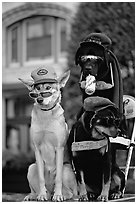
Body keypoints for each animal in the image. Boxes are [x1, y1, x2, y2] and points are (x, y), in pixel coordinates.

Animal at [18, 67, 77, 202]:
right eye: (36, 90)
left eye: (48, 88)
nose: (39, 99)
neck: (46, 114)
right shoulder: (37, 149)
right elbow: (41, 179)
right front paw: (41, 195)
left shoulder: (59, 148)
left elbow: (58, 178)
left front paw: (58, 195)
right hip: (31, 168)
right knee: (40, 188)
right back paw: (35, 195)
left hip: (66, 169)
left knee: (70, 193)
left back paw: (61, 195)